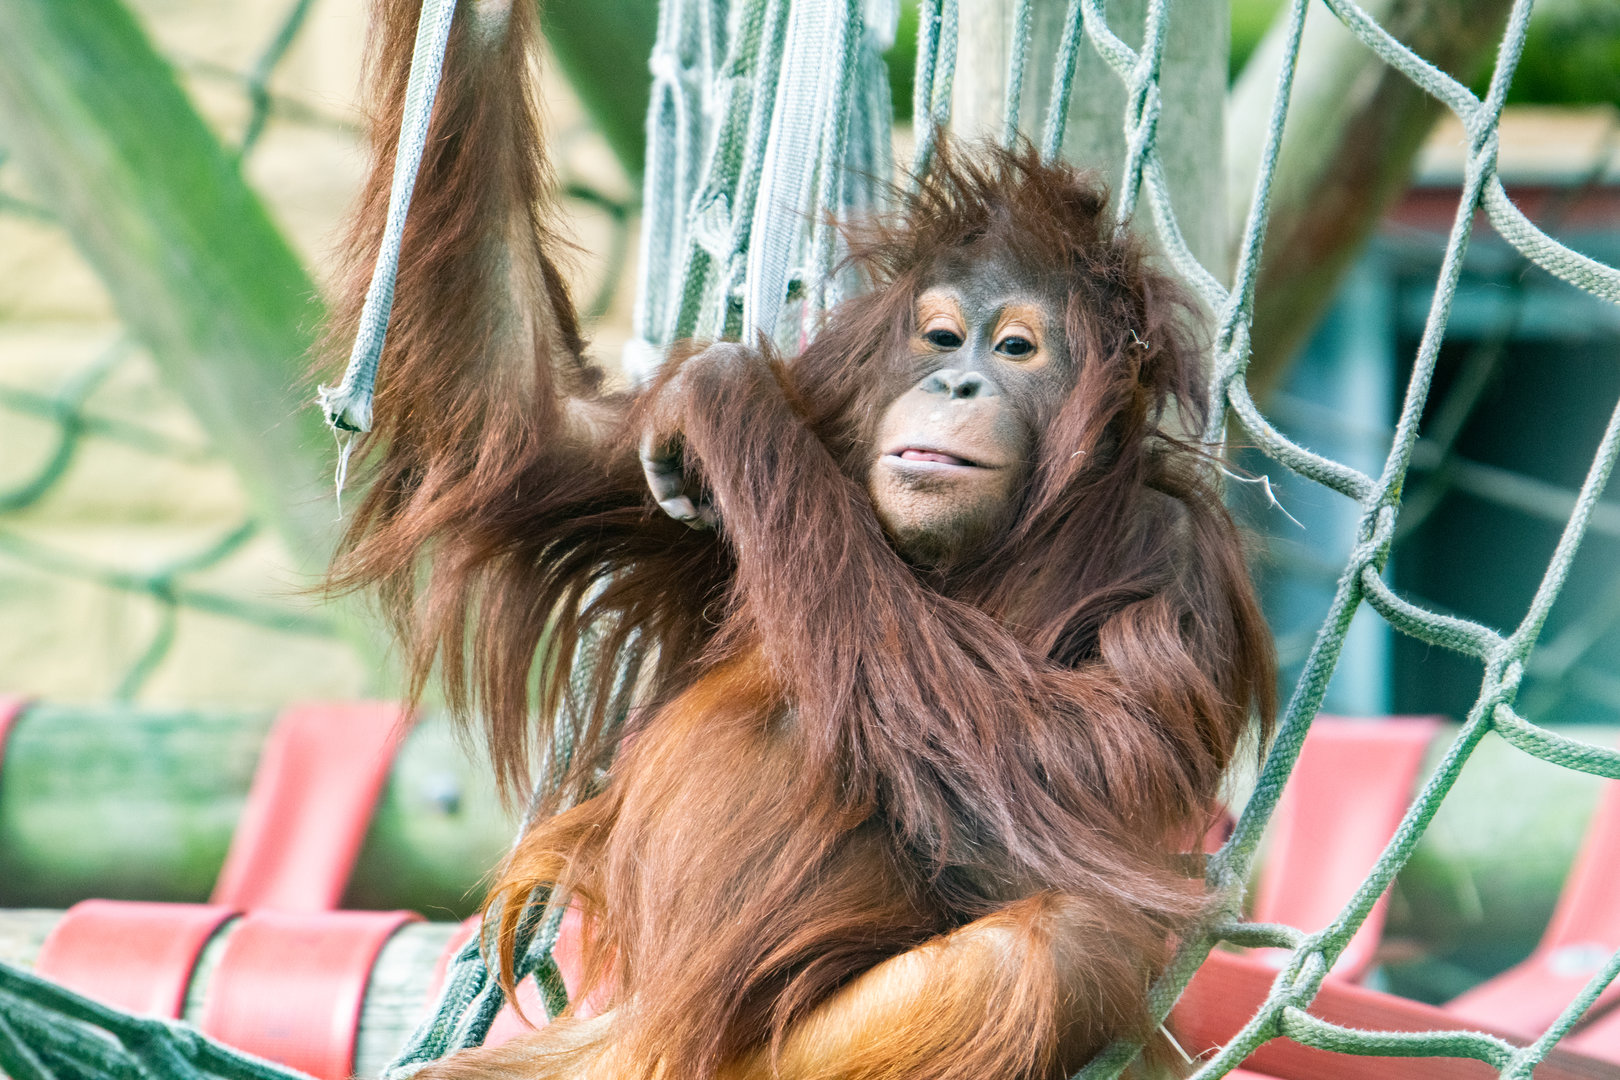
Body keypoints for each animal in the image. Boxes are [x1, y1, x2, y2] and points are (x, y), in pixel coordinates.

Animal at [324, 1, 1276, 1077]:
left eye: (1017, 347)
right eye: (942, 337)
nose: (957, 382)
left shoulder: (1179, 561)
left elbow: (1069, 774)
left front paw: (726, 384)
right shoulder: (755, 450)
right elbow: (526, 427)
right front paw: (479, 21)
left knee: (1062, 946)